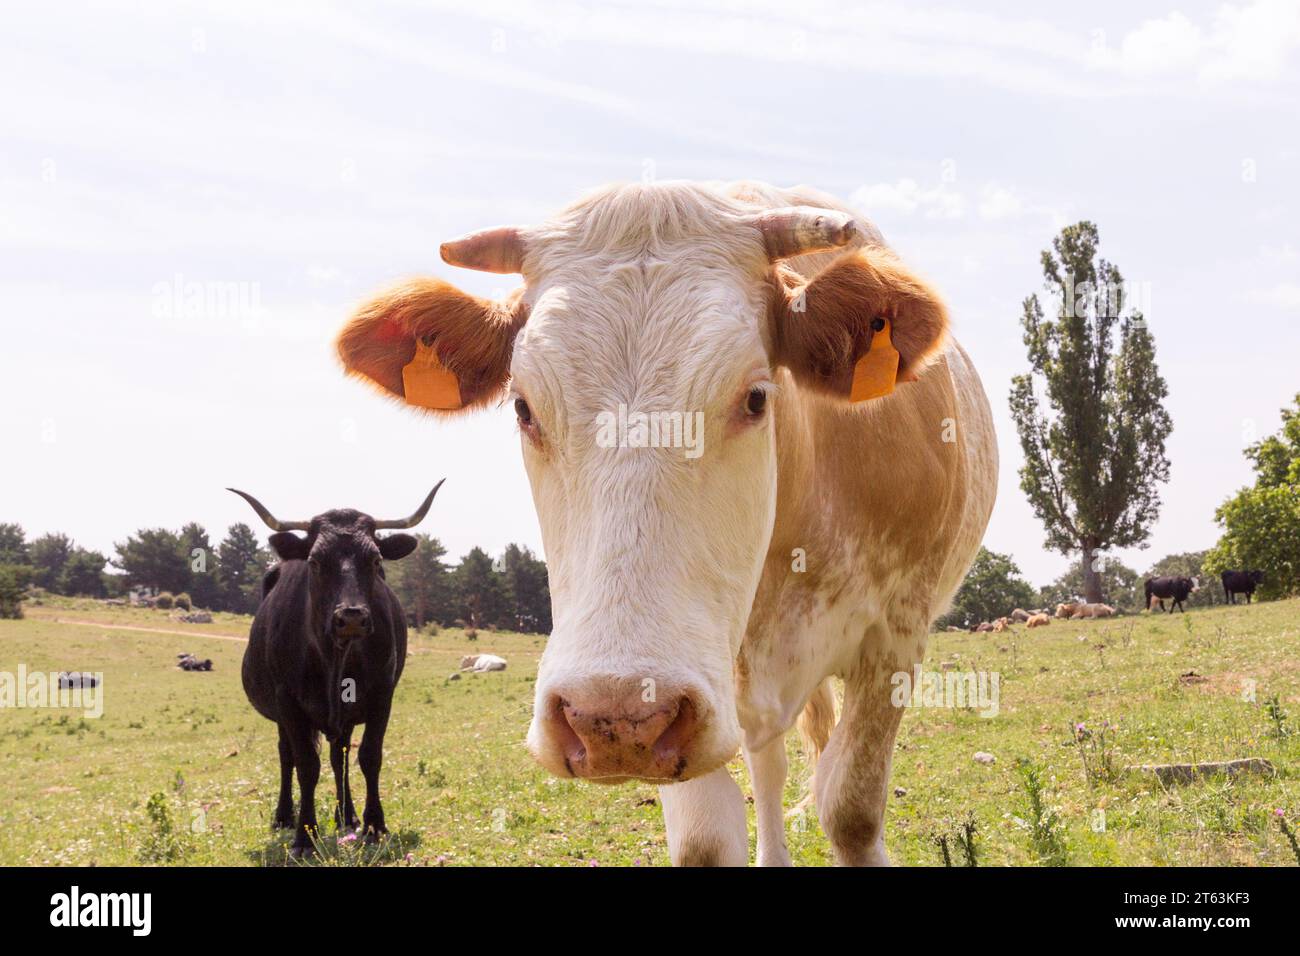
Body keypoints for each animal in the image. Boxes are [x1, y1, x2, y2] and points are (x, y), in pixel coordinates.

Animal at [230, 483, 441, 856]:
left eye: (375, 560)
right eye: (315, 561)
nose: (351, 617)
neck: (335, 657)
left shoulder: (382, 695)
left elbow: (369, 756)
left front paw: (374, 825)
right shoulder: (288, 702)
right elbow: (305, 765)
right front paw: (305, 836)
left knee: (338, 755)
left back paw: (347, 816)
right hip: (282, 715)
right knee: (287, 756)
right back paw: (284, 816)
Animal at [335, 180, 997, 866]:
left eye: (756, 398)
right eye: (522, 407)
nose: (614, 714)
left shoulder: (897, 632)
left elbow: (852, 809)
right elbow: (707, 835)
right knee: (769, 763)